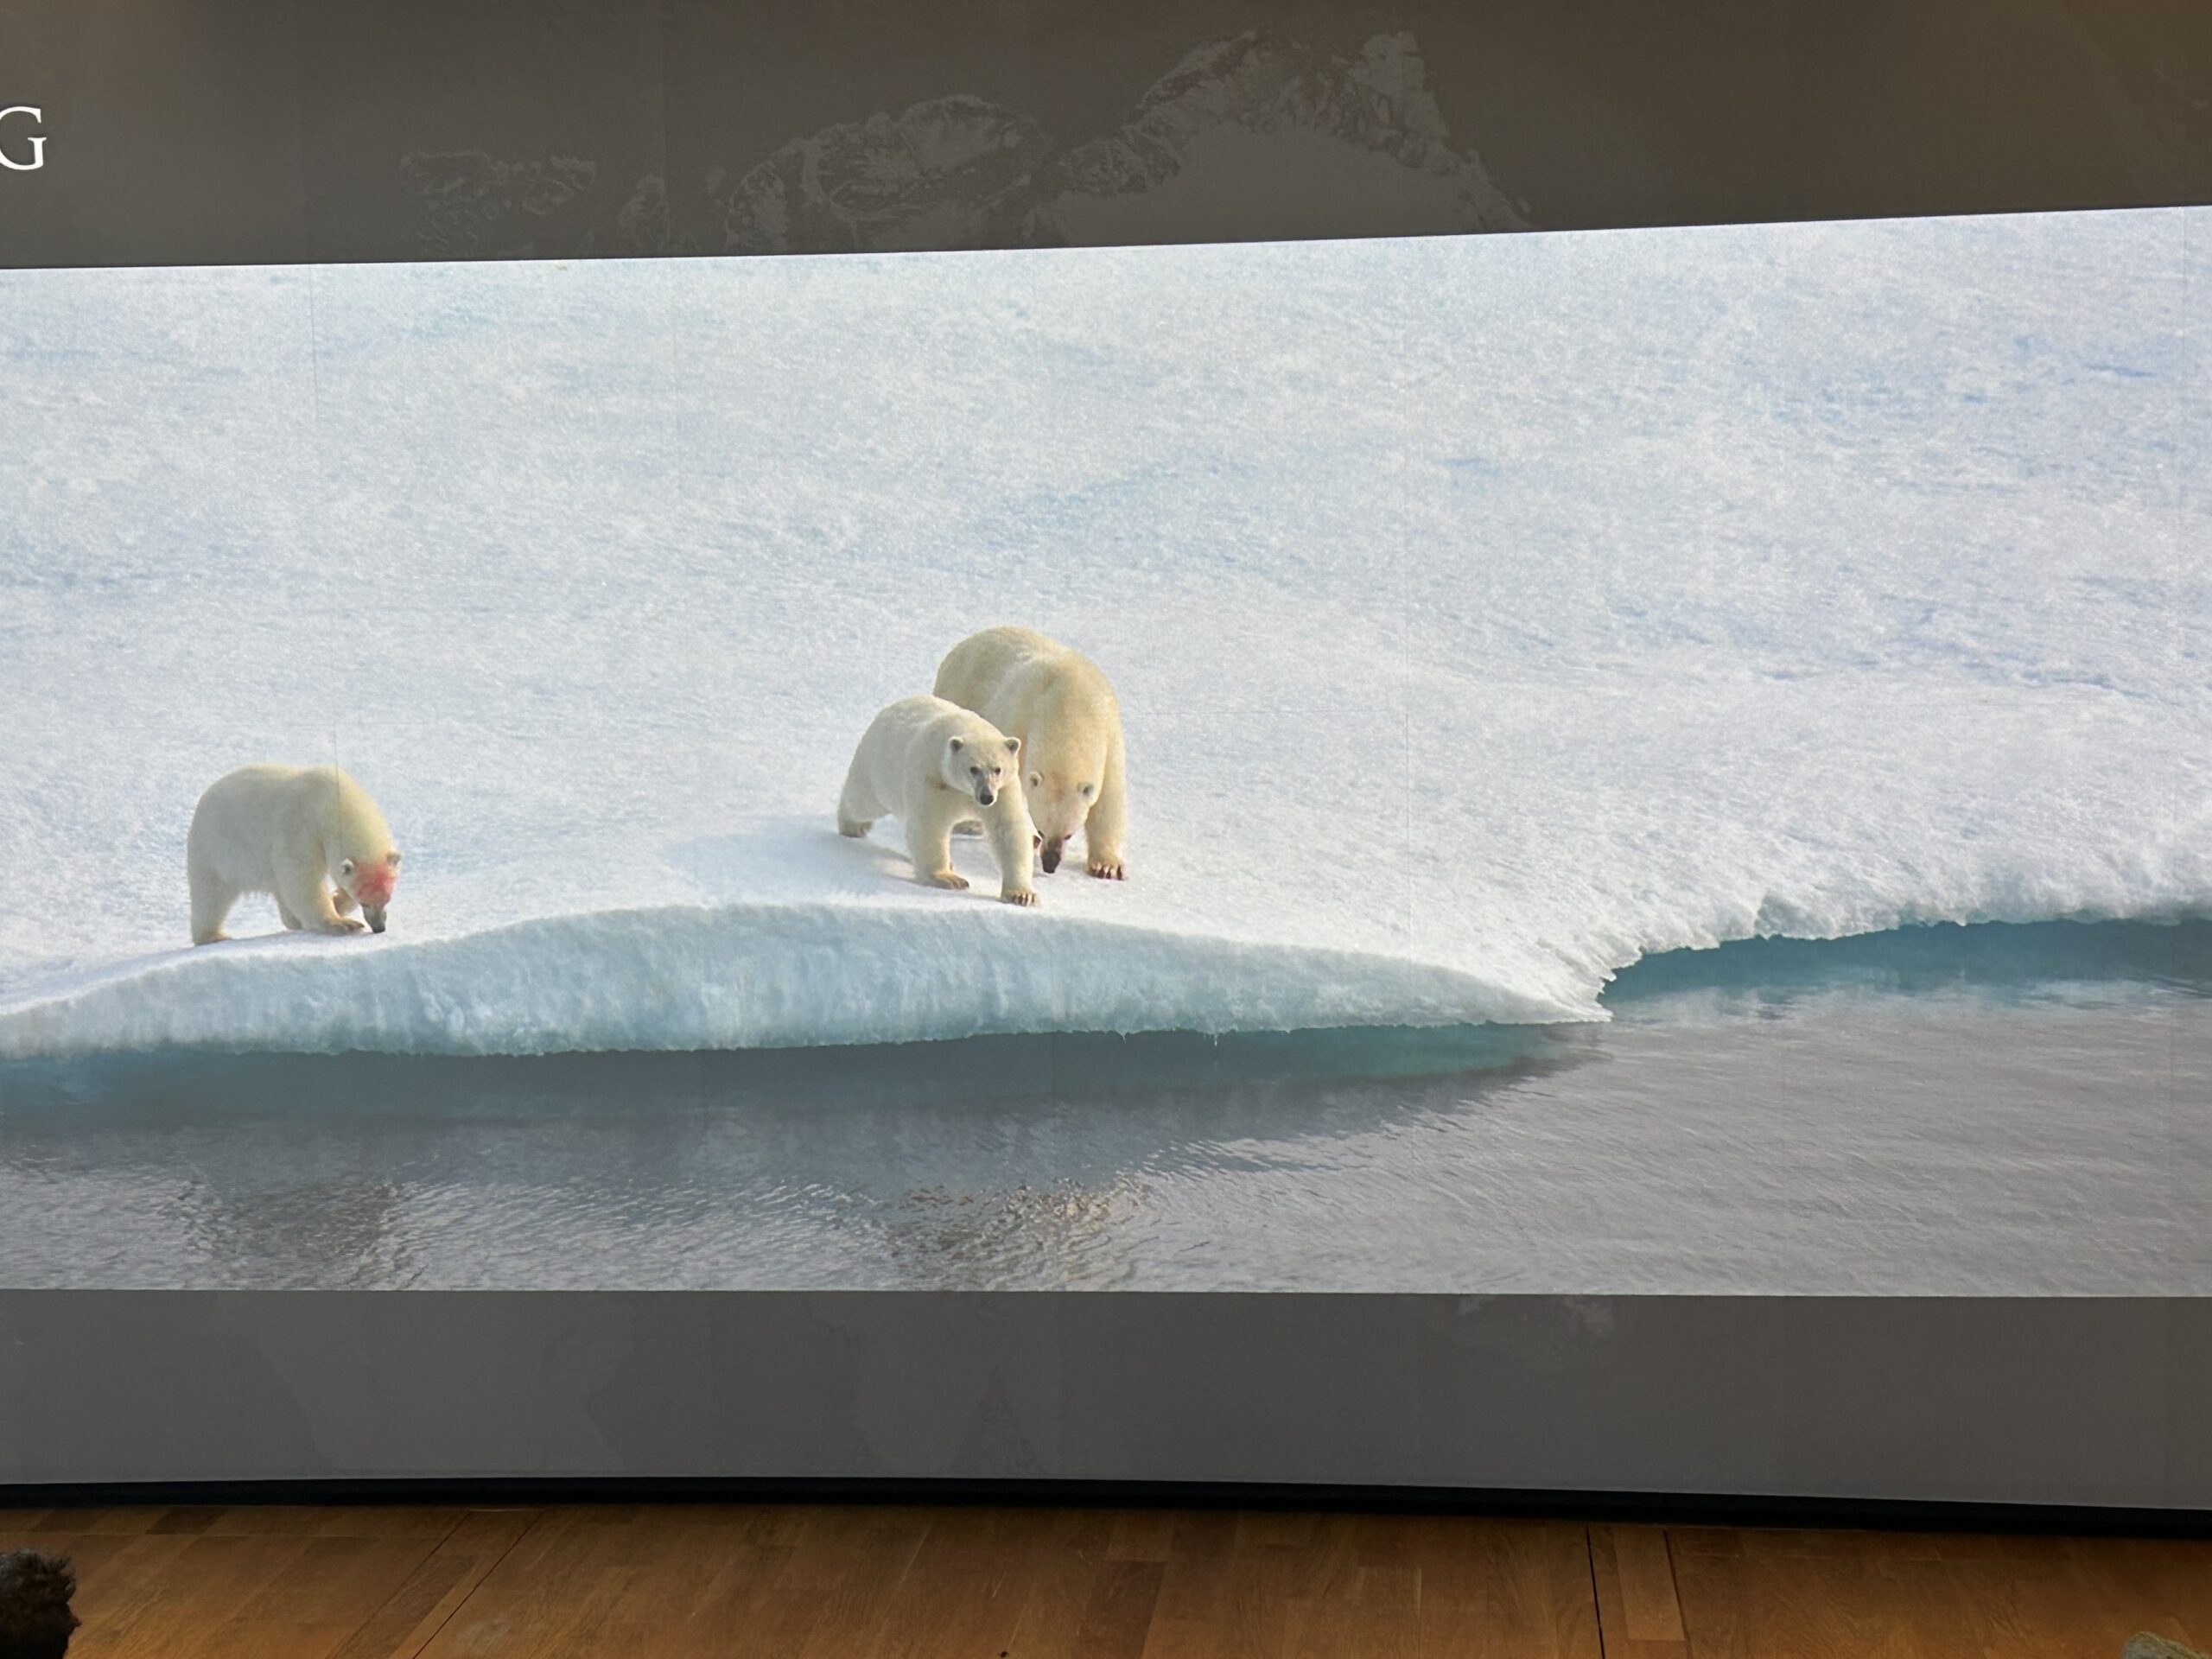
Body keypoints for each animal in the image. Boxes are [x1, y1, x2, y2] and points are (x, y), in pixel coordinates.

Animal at [186, 764, 403, 945]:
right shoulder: (299, 827)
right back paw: (213, 936)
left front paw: (337, 902)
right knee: (210, 896)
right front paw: (342, 923)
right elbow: (302, 879)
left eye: (387, 899)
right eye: (364, 902)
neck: (329, 800)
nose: (379, 928)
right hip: (214, 852)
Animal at [838, 696, 1039, 906]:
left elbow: (1008, 829)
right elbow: (929, 826)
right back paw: (853, 826)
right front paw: (949, 879)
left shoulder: (1005, 789)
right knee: (862, 800)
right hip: (879, 769)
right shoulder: (932, 779)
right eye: (973, 769)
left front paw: (1021, 895)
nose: (986, 797)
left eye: (997, 769)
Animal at [934, 625, 1128, 879]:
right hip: (960, 694)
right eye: (1042, 829)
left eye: (1068, 834)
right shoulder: (1017, 722)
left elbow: (1109, 799)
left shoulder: (1110, 736)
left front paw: (1107, 866)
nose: (1050, 864)